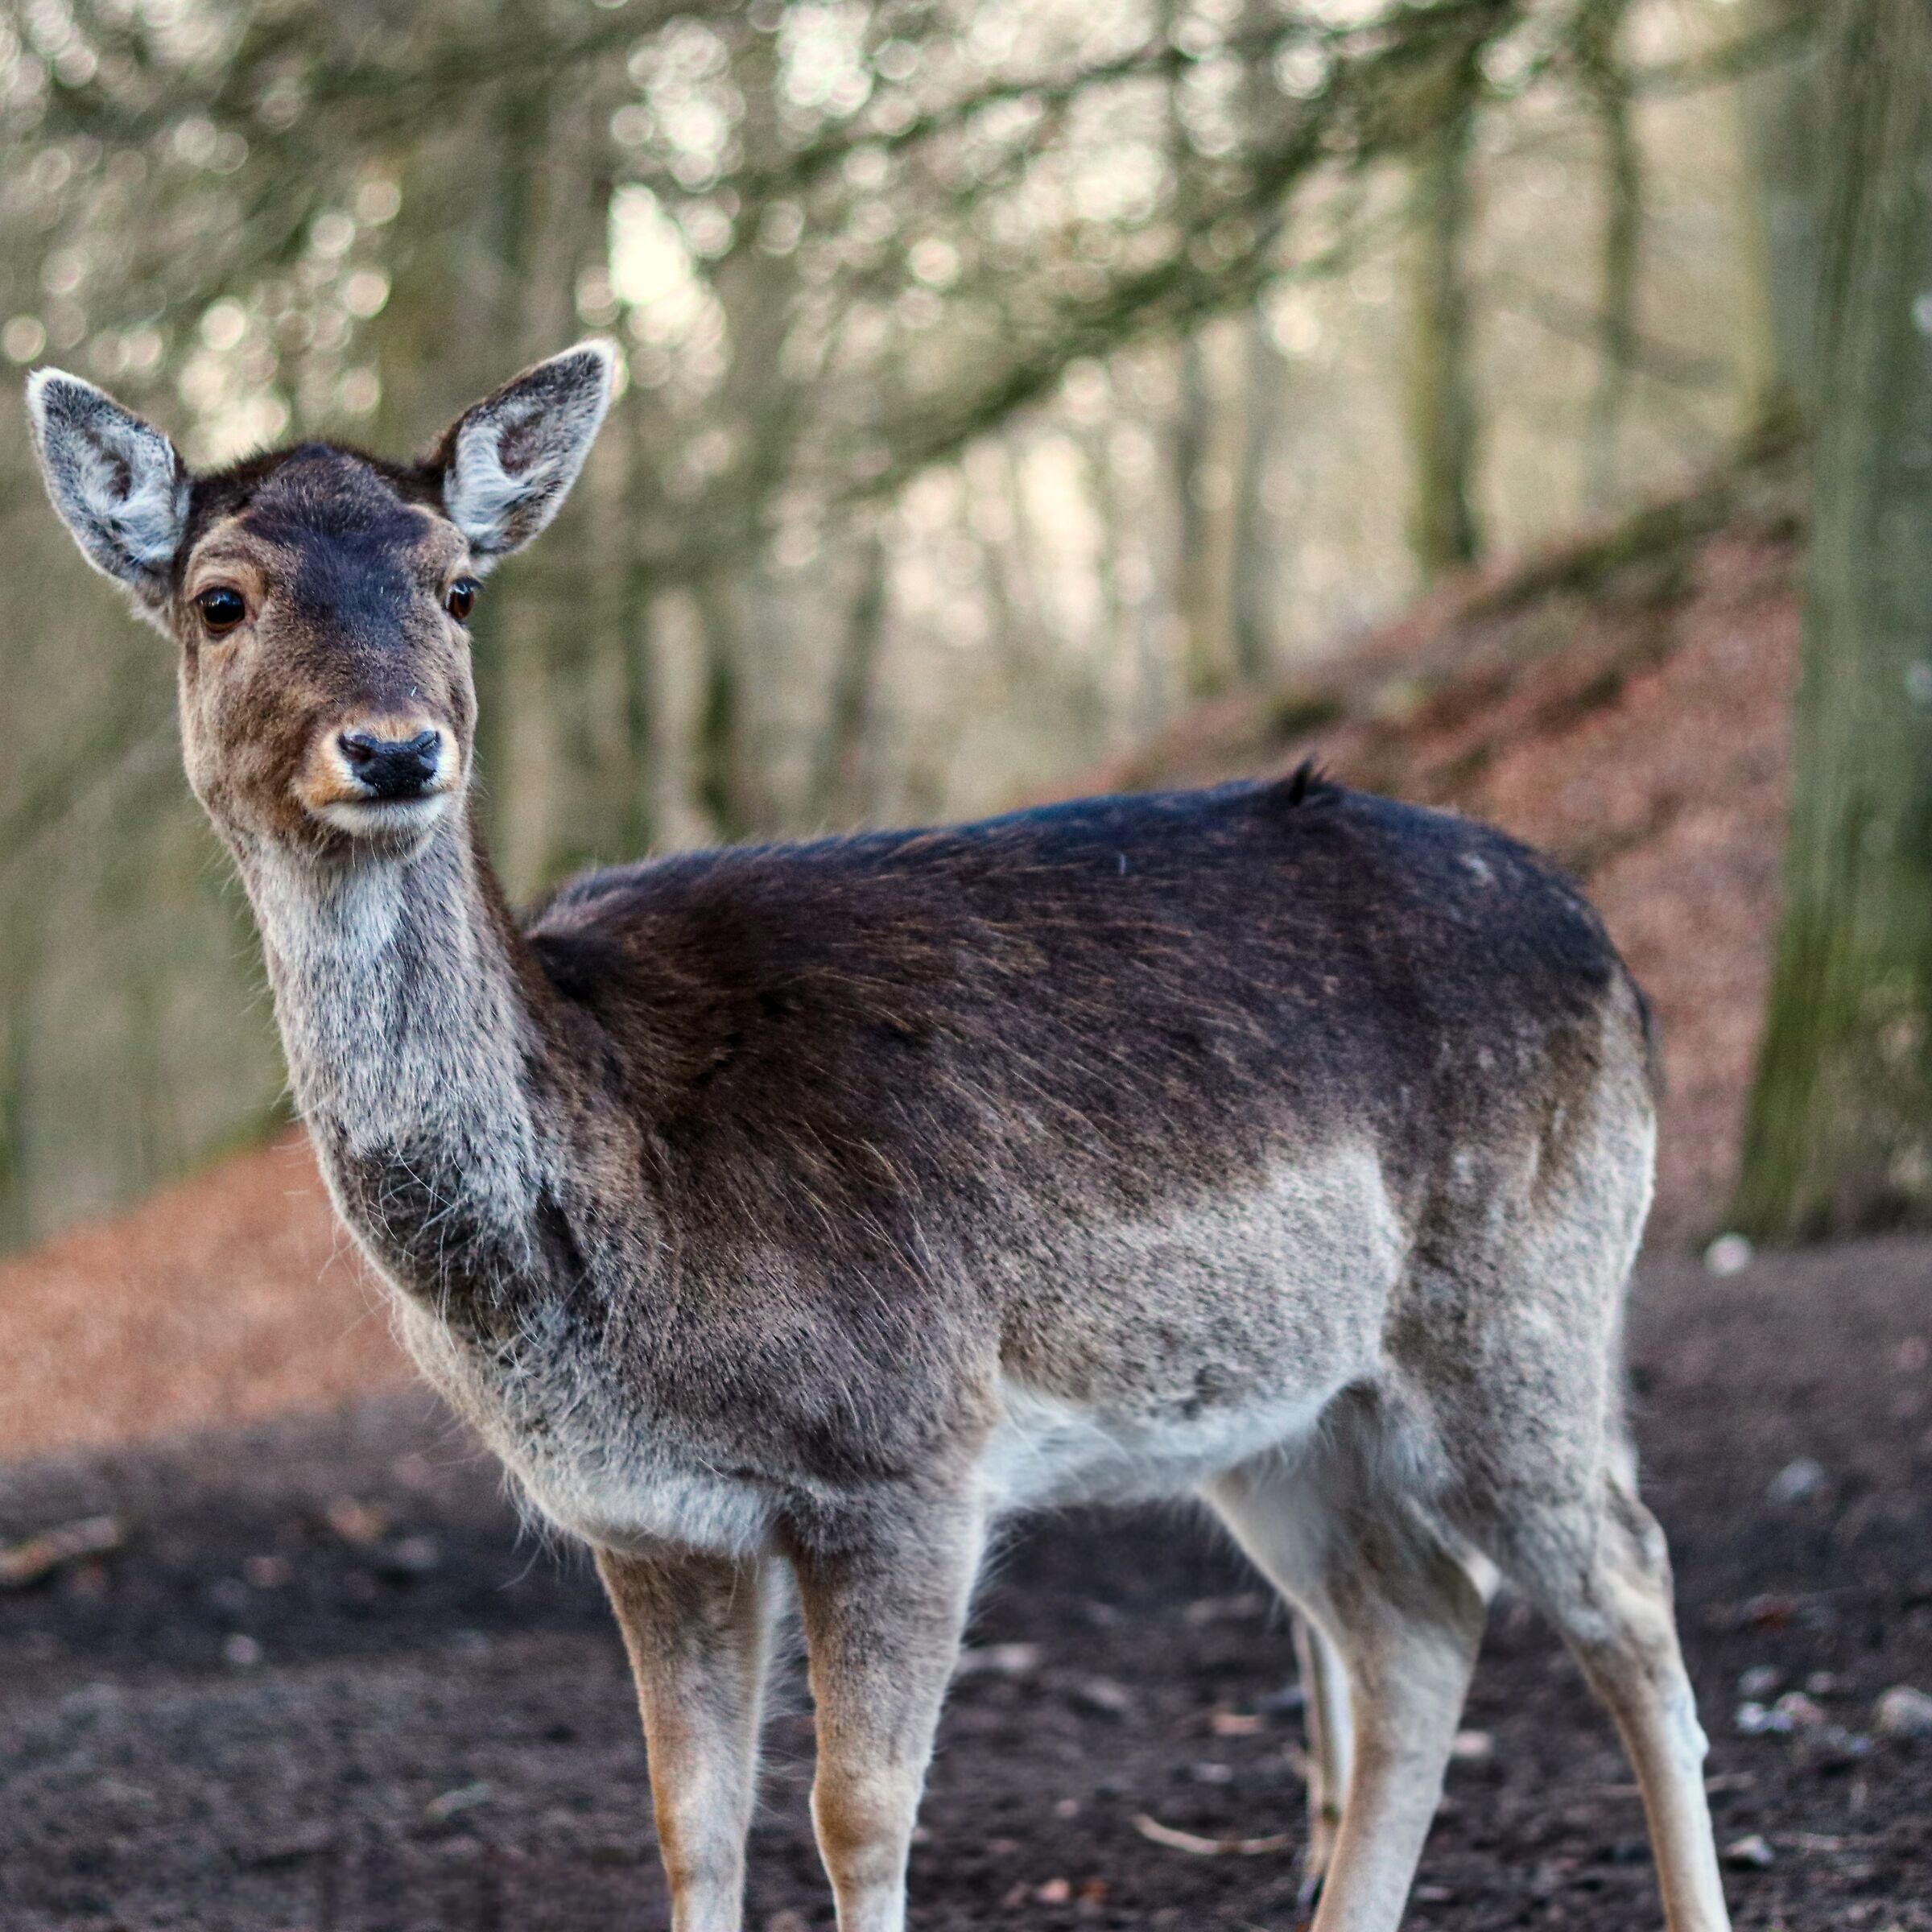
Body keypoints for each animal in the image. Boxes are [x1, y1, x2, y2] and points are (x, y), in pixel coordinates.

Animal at [27, 341, 1731, 1932]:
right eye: (221, 599)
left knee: (1629, 1582)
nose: (392, 750)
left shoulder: (909, 1453)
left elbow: (858, 1813)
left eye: (458, 585)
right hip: (1288, 1412)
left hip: (1524, 1298)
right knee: (1420, 1622)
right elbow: (689, 1819)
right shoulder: (649, 1522)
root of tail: (1612, 950)